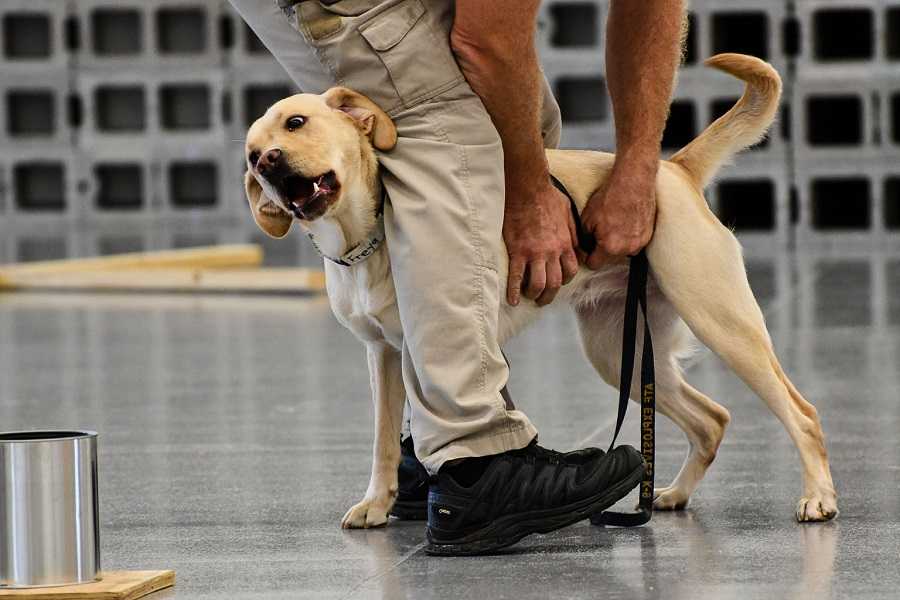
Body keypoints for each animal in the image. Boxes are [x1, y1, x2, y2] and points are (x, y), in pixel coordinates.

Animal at [244, 54, 836, 528]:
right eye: (251, 154)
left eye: (296, 122)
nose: (266, 163)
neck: (367, 239)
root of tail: (674, 171)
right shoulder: (384, 355)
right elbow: (384, 441)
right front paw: (377, 503)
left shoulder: (433, 344)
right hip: (620, 356)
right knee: (713, 421)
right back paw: (670, 496)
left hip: (725, 325)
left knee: (802, 413)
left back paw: (818, 499)